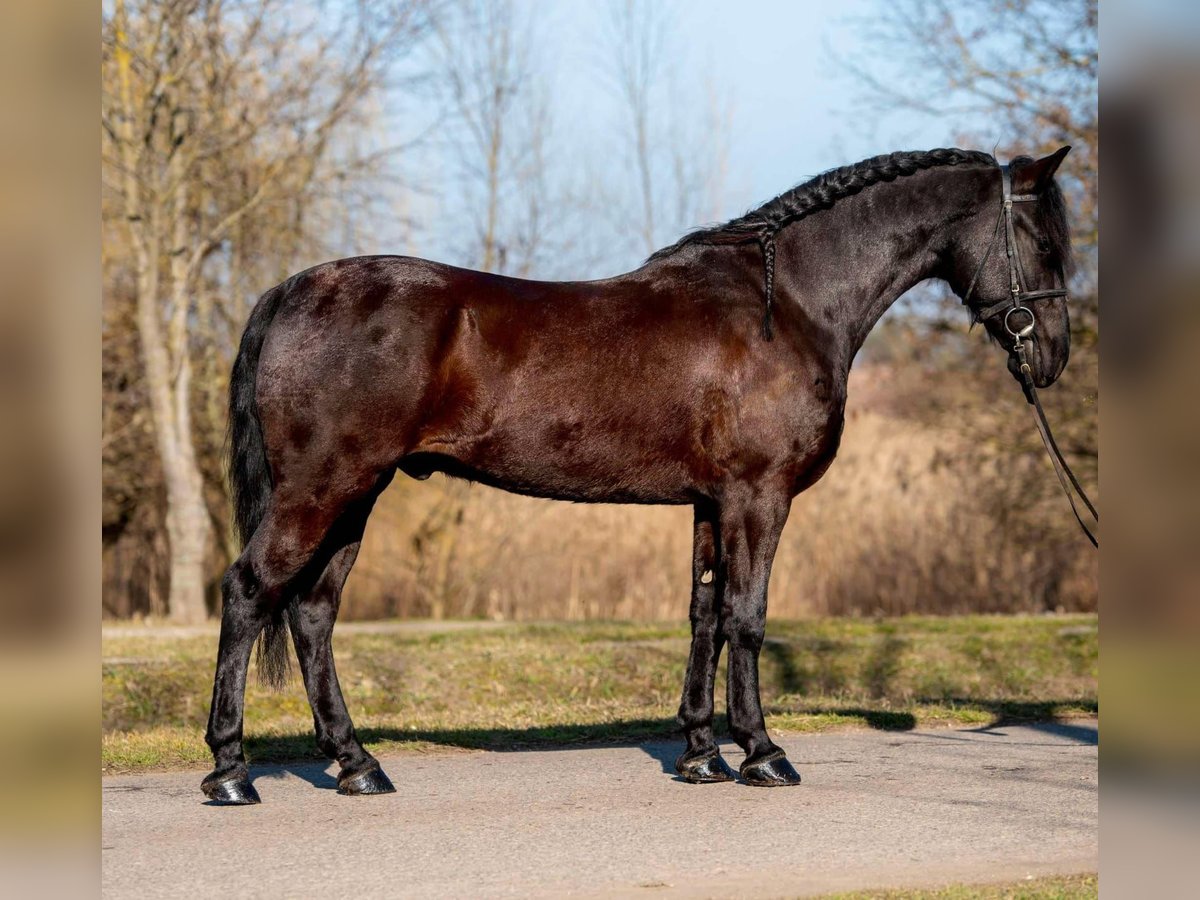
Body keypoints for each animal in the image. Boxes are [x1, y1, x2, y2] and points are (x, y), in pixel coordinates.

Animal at [201, 146, 1075, 801]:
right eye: (1043, 240)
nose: (1053, 356)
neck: (787, 303)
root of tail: (291, 290)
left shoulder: (711, 503)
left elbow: (704, 617)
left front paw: (701, 754)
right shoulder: (758, 497)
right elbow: (747, 618)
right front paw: (763, 754)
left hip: (355, 497)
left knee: (312, 613)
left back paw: (357, 764)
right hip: (322, 490)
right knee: (249, 592)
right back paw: (231, 771)